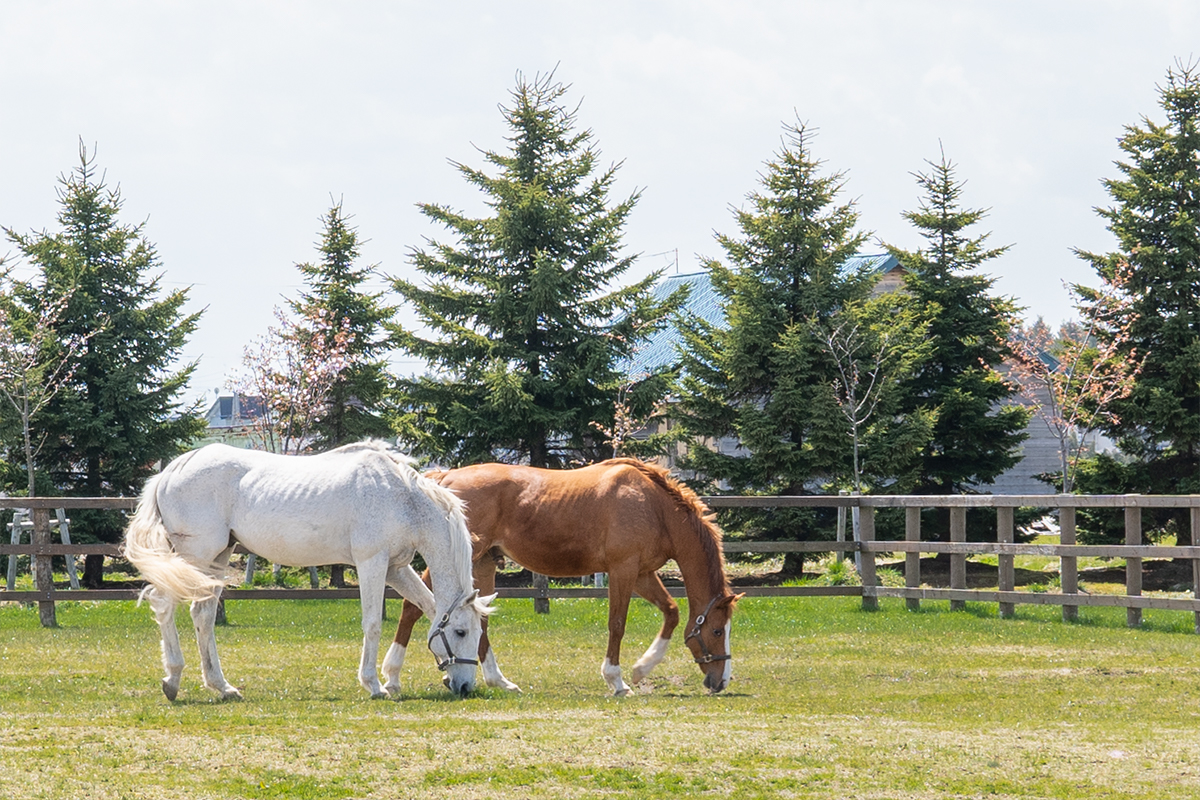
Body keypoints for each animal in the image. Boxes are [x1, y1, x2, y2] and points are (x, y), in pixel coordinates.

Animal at [123, 440, 492, 701]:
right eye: (461, 632)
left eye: (477, 633)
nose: (464, 687)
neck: (402, 498)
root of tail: (169, 471)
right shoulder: (372, 563)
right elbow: (372, 624)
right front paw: (374, 684)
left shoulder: (396, 569)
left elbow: (427, 607)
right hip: (194, 557)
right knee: (164, 604)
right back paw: (172, 679)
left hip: (217, 557)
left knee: (203, 616)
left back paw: (222, 686)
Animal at [381, 458, 743, 696]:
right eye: (715, 630)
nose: (721, 680)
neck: (654, 507)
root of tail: (446, 477)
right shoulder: (623, 570)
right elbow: (617, 624)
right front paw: (617, 680)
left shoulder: (642, 573)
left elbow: (672, 612)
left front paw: (642, 669)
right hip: (457, 557)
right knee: (413, 608)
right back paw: (392, 678)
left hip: (482, 563)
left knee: (478, 619)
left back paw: (498, 681)